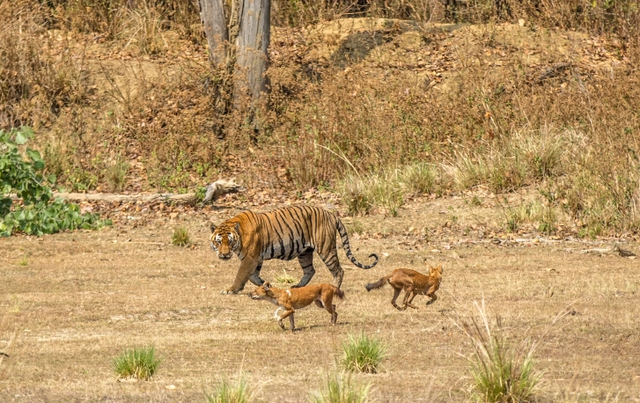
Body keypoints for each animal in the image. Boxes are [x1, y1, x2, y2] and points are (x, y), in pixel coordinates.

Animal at [210, 207, 380, 296]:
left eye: (229, 241)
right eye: (218, 242)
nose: (224, 255)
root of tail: (331, 214)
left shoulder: (250, 258)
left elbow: (241, 275)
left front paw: (231, 290)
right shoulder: (256, 259)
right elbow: (252, 276)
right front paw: (265, 284)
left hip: (326, 248)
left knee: (339, 270)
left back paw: (334, 289)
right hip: (305, 252)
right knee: (310, 270)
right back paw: (298, 287)